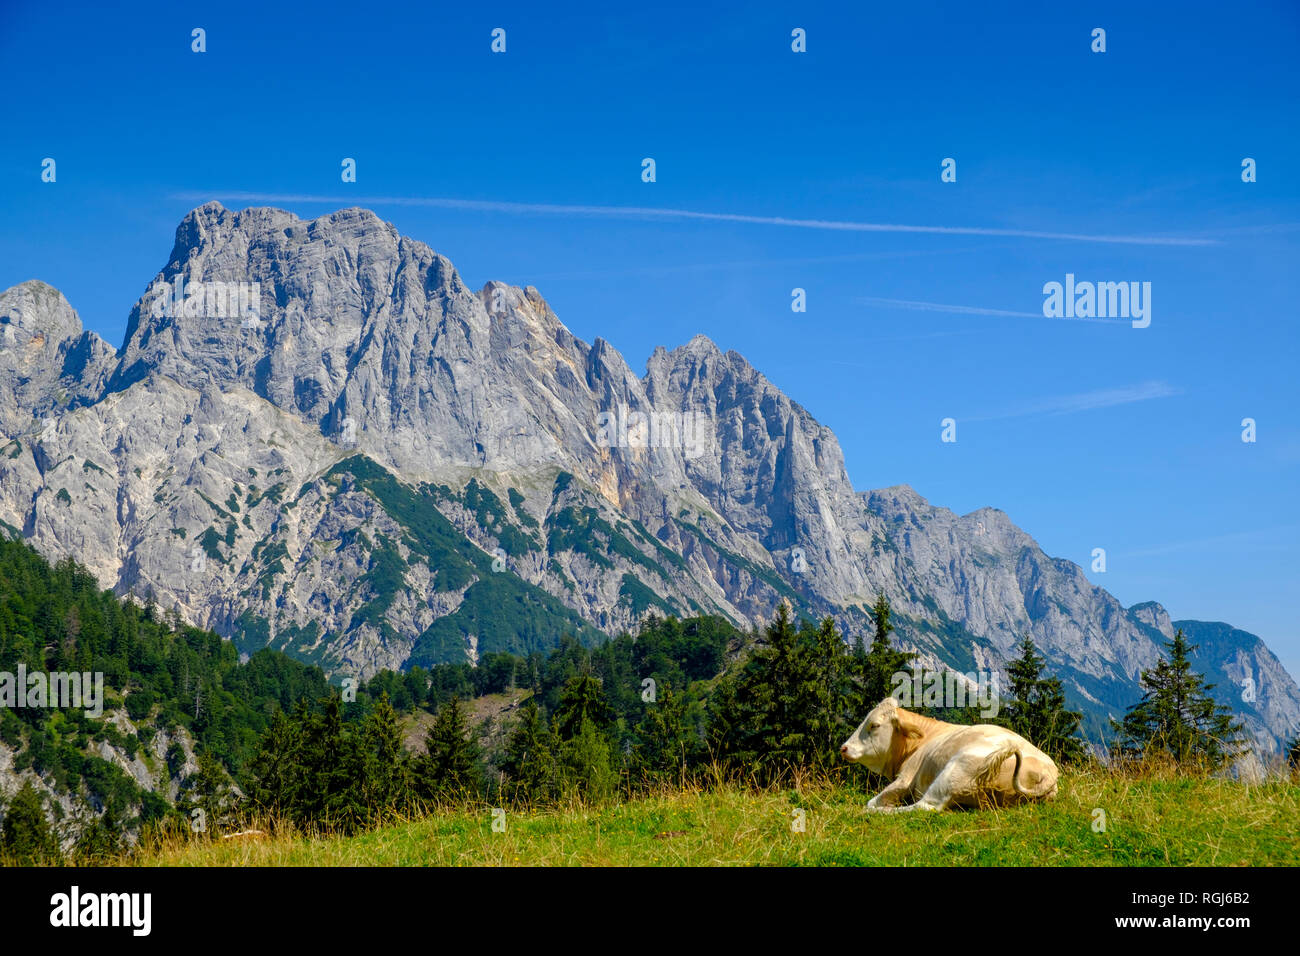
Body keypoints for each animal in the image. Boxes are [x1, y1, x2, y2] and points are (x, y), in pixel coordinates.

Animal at [837, 697, 1060, 811]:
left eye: (874, 725)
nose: (844, 748)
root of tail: (1049, 773)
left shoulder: (906, 777)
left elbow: (872, 801)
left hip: (956, 769)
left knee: (925, 806)